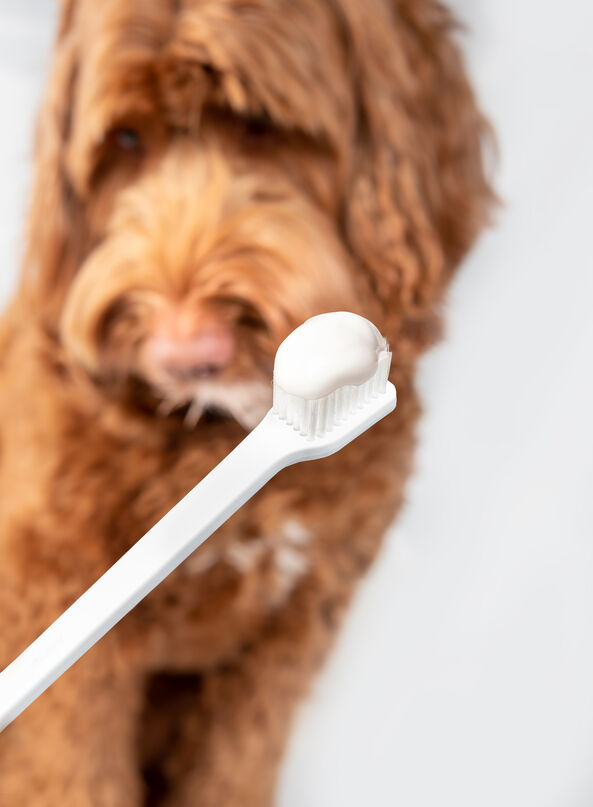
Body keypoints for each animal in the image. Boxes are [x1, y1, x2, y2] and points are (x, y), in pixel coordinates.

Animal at [0, 0, 490, 804]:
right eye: (126, 140)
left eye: (259, 122)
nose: (184, 349)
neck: (226, 436)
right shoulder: (60, 617)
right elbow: (75, 772)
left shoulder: (289, 632)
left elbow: (235, 764)